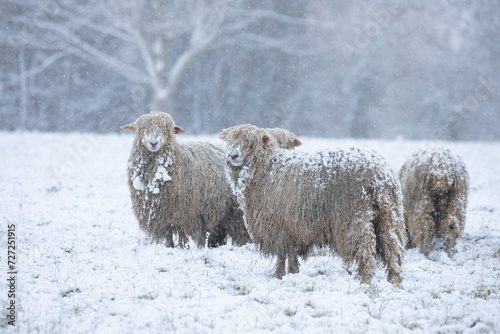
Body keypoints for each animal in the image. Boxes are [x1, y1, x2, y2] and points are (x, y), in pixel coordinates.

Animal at [121, 112, 250, 248]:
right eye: (142, 128)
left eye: (166, 129)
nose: (153, 143)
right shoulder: (163, 216)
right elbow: (168, 236)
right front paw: (169, 247)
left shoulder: (184, 212)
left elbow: (182, 236)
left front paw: (183, 248)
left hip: (237, 213)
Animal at [219, 124, 406, 286]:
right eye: (230, 140)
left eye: (250, 143)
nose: (233, 156)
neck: (265, 168)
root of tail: (379, 175)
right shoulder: (293, 225)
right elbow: (291, 252)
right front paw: (293, 271)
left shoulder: (277, 224)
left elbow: (281, 252)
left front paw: (278, 274)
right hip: (389, 213)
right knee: (392, 245)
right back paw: (394, 279)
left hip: (353, 216)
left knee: (365, 245)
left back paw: (365, 277)